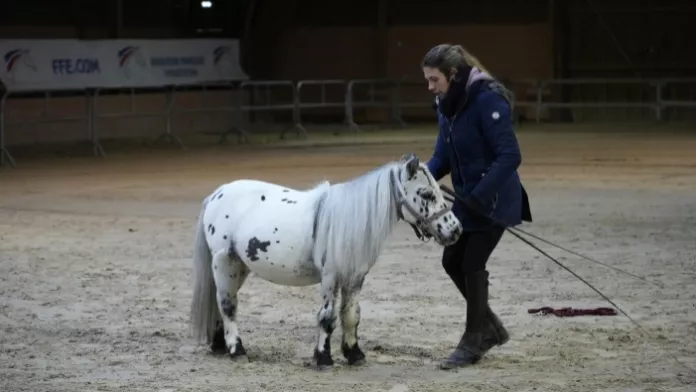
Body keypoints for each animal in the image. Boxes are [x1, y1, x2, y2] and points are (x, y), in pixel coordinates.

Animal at [189, 152, 462, 368]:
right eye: (426, 193)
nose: (455, 230)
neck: (348, 221)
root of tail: (217, 194)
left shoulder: (355, 277)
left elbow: (351, 314)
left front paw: (354, 354)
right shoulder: (331, 276)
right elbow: (327, 316)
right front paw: (323, 357)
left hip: (238, 267)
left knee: (220, 302)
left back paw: (219, 345)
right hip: (224, 262)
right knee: (228, 305)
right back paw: (236, 349)